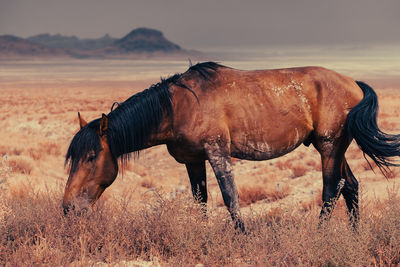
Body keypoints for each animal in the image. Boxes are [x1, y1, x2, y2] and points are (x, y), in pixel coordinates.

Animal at [62, 62, 400, 232]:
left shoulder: (217, 153)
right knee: (350, 185)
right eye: (73, 158)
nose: (68, 208)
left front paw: (241, 235)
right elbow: (200, 199)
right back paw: (354, 236)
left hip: (329, 147)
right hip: (333, 148)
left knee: (332, 188)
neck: (178, 105)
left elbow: (230, 197)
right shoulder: (193, 160)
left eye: (91, 156)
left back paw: (319, 236)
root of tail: (354, 83)